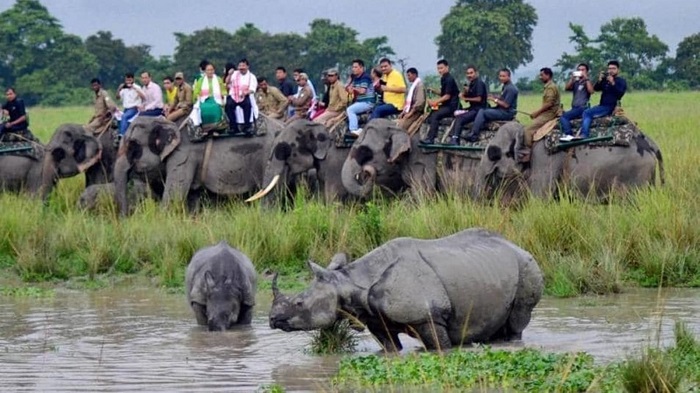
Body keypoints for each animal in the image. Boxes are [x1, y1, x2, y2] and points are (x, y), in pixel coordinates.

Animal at [113, 115, 284, 216]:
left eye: (132, 145)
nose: (127, 217)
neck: (167, 122)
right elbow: (191, 197)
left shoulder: (183, 157)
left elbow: (174, 197)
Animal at [270, 227, 544, 350]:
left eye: (299, 303)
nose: (272, 319)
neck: (348, 282)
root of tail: (515, 245)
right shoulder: (375, 319)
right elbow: (391, 348)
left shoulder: (429, 316)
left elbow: (440, 347)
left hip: (527, 266)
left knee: (518, 319)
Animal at [474, 119, 664, 201]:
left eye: (493, 153)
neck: (528, 132)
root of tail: (652, 144)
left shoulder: (545, 157)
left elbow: (539, 198)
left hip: (636, 175)